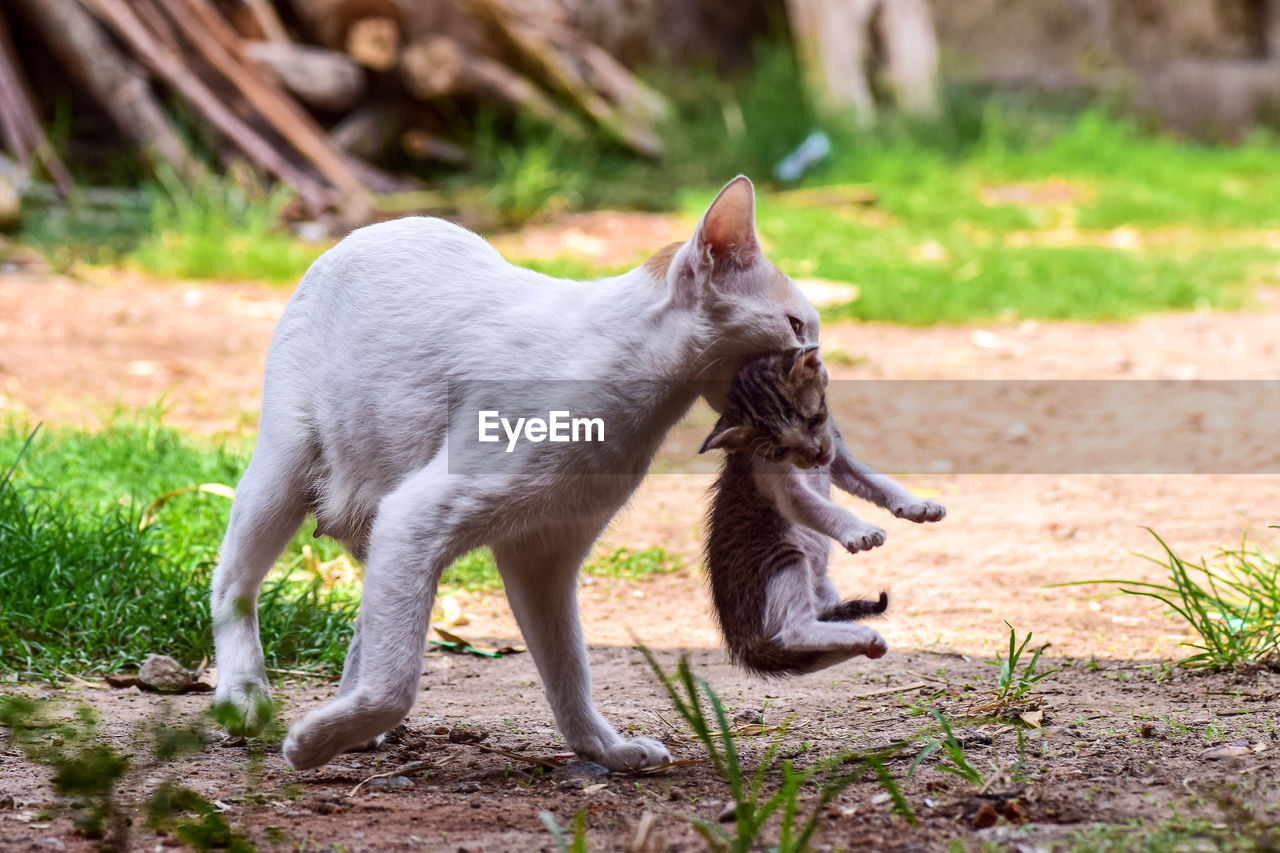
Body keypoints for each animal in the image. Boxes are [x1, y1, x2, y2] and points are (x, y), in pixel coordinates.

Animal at [211, 174, 824, 768]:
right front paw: (309, 745)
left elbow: (568, 669)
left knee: (369, 619)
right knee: (232, 586)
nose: (819, 359)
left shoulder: (544, 555)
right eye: (796, 325)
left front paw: (604, 749)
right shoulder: (420, 516)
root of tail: (375, 228)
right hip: (285, 468)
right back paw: (246, 698)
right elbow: (397, 686)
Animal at [701, 343, 942, 671]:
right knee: (794, 632)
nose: (815, 453)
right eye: (781, 448)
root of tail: (741, 640)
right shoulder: (780, 484)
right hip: (782, 554)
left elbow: (878, 483)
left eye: (813, 418)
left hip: (822, 591)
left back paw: (856, 640)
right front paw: (859, 531)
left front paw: (916, 505)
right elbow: (825, 509)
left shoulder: (838, 456)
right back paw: (861, 635)